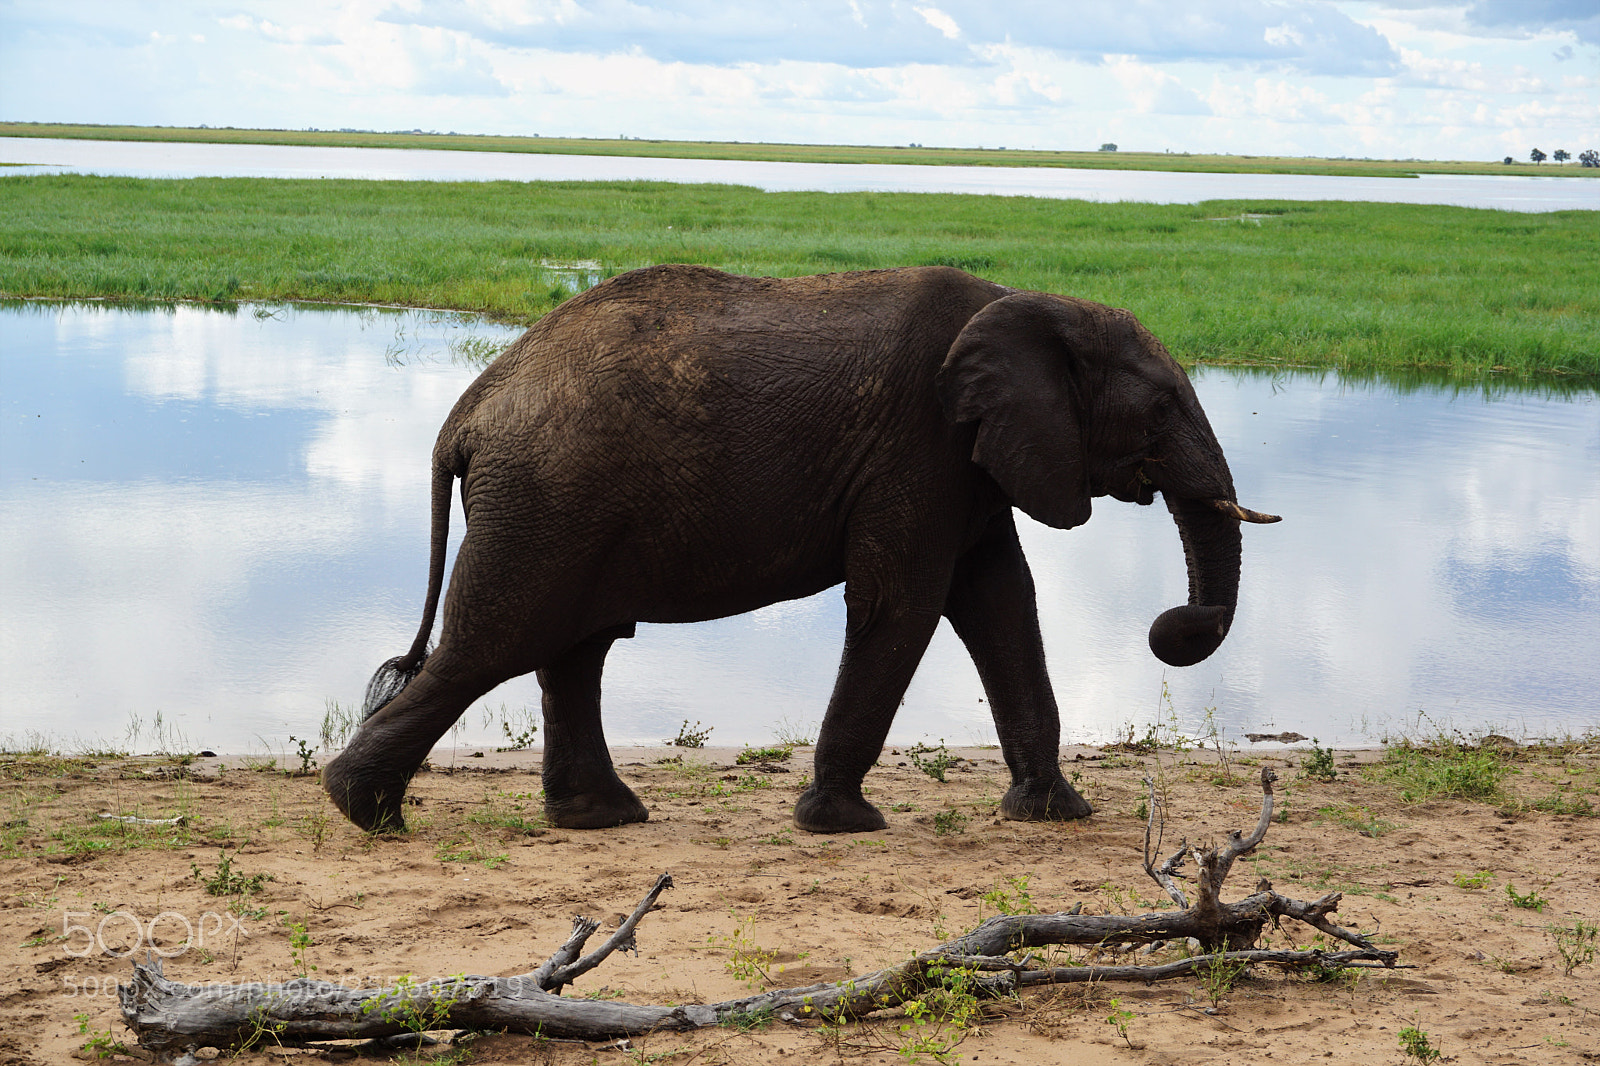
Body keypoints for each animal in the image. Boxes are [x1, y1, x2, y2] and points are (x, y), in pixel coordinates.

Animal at [322, 264, 1278, 834]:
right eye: (1160, 409)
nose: (1172, 626)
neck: (1028, 306)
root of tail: (466, 412)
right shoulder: (919, 447)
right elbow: (905, 602)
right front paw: (842, 822)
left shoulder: (970, 462)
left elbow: (1002, 604)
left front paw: (1054, 813)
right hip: (545, 498)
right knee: (495, 642)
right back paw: (365, 812)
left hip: (562, 504)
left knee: (569, 650)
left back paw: (601, 818)